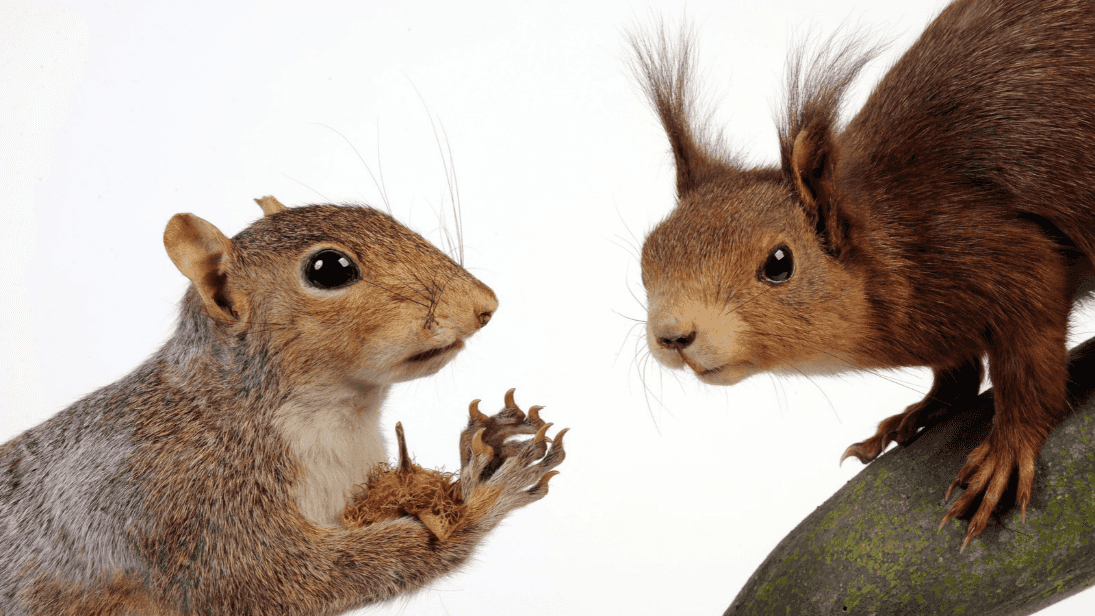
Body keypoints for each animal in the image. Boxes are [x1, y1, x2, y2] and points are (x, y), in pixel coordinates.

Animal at [0, 195, 566, 615]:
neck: (338, 415)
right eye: (329, 268)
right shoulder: (193, 506)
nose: (484, 305)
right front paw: (481, 496)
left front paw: (489, 443)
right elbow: (295, 575)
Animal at [630, 0, 1095, 550]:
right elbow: (957, 370)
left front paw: (1005, 452)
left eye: (780, 263)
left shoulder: (1006, 254)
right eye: (647, 256)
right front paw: (918, 414)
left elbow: (1030, 368)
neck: (887, 233)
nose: (672, 336)